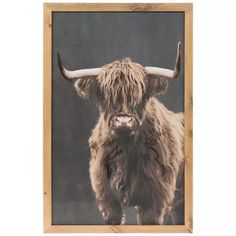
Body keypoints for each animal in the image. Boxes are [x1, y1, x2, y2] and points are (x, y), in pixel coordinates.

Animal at [58, 42, 184, 225]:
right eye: (104, 95)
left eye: (142, 95)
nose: (123, 121)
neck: (126, 152)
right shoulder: (107, 198)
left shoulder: (157, 198)